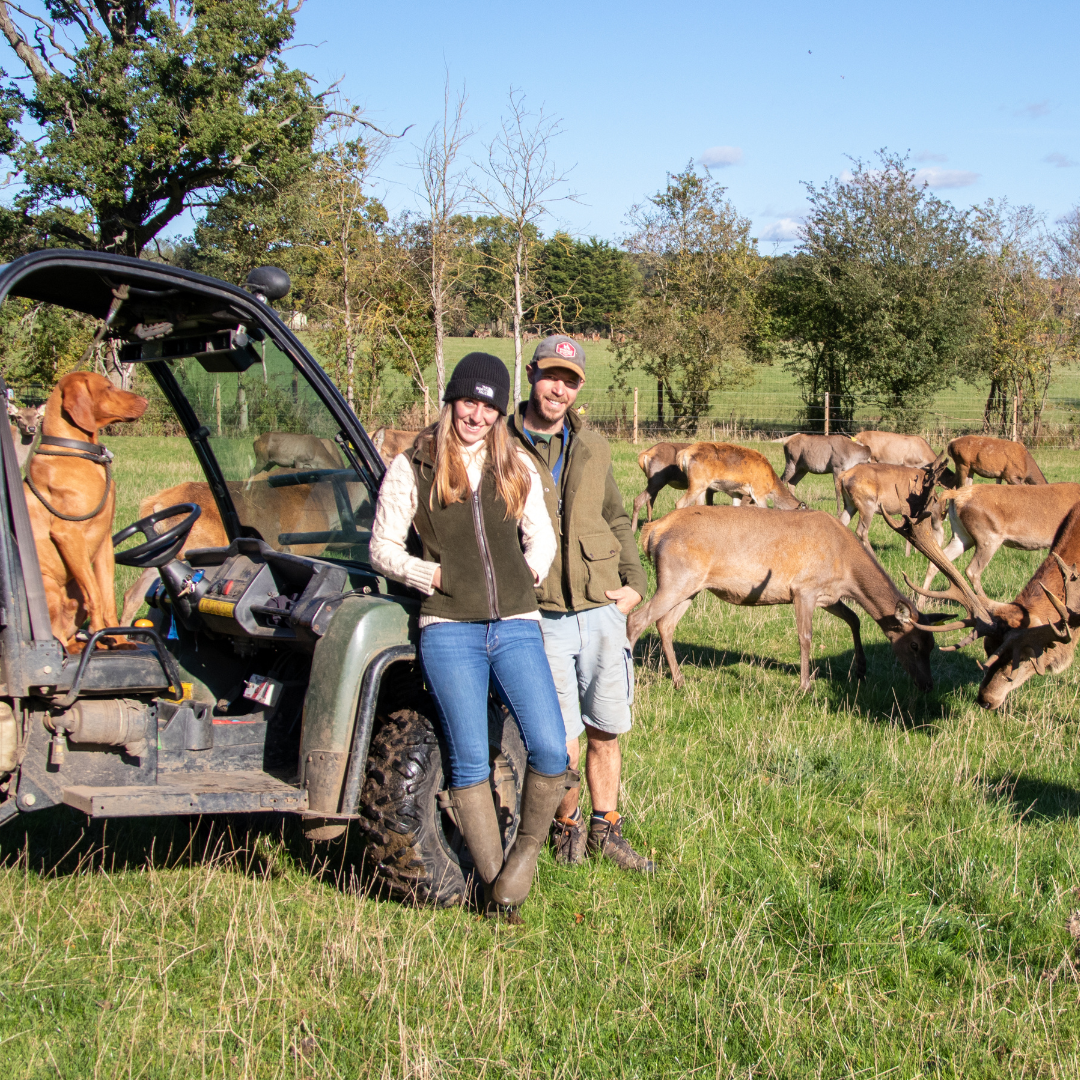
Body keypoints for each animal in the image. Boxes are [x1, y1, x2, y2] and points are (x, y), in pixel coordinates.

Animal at [23, 373, 147, 648]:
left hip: (73, 591)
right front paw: (101, 635)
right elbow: (96, 595)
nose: (146, 400)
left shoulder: (104, 540)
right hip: (47, 587)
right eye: (109, 387)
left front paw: (117, 639)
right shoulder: (68, 535)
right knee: (55, 638)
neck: (77, 452)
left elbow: (107, 596)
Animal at [626, 505, 937, 691]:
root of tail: (652, 531)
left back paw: (679, 680)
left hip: (690, 587)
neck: (846, 569)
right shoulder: (803, 589)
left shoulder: (827, 595)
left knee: (665, 624)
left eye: (932, 644)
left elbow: (855, 618)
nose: (927, 685)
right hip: (676, 578)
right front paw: (805, 685)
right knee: (636, 619)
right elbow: (805, 637)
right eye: (914, 645)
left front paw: (860, 669)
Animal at [678, 442, 807, 509]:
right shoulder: (759, 491)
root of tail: (683, 453)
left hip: (702, 486)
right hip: (697, 482)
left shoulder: (737, 492)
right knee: (680, 503)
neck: (772, 485)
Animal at [915, 483, 1080, 600]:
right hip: (989, 536)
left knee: (937, 562)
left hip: (962, 535)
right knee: (972, 570)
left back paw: (921, 603)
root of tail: (956, 495)